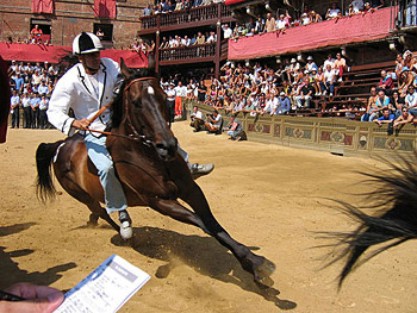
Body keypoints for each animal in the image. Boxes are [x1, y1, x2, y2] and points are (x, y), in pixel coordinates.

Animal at [35, 59, 274, 286]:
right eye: (136, 102)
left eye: (164, 97)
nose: (167, 146)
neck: (149, 157)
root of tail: (60, 146)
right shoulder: (159, 200)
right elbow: (202, 222)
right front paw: (256, 264)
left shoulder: (192, 190)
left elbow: (213, 223)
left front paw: (253, 263)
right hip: (81, 195)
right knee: (102, 211)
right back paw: (125, 233)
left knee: (102, 211)